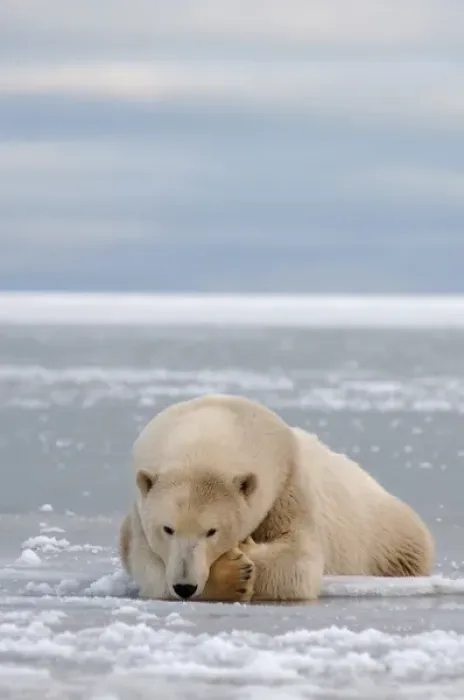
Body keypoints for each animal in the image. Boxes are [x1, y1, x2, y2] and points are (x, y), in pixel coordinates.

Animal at [119, 393, 434, 602]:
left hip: (386, 538)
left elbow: (297, 560)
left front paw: (241, 562)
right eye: (167, 529)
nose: (185, 586)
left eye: (211, 531)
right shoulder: (139, 510)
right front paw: (231, 574)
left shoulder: (288, 486)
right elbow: (149, 570)